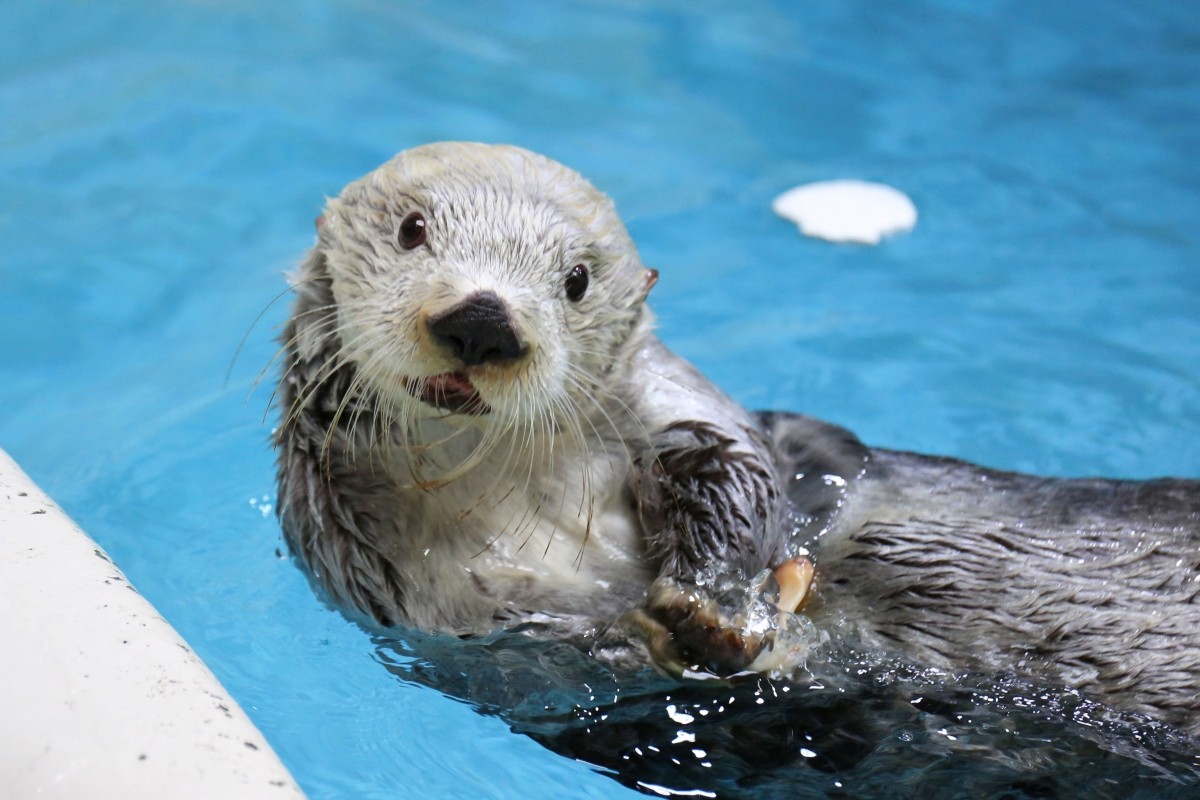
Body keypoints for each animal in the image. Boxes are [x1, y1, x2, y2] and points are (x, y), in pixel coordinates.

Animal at [275, 142, 1200, 733]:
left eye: (575, 280)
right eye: (412, 229)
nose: (482, 318)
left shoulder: (677, 405)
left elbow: (730, 473)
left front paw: (714, 602)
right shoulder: (435, 608)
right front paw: (668, 637)